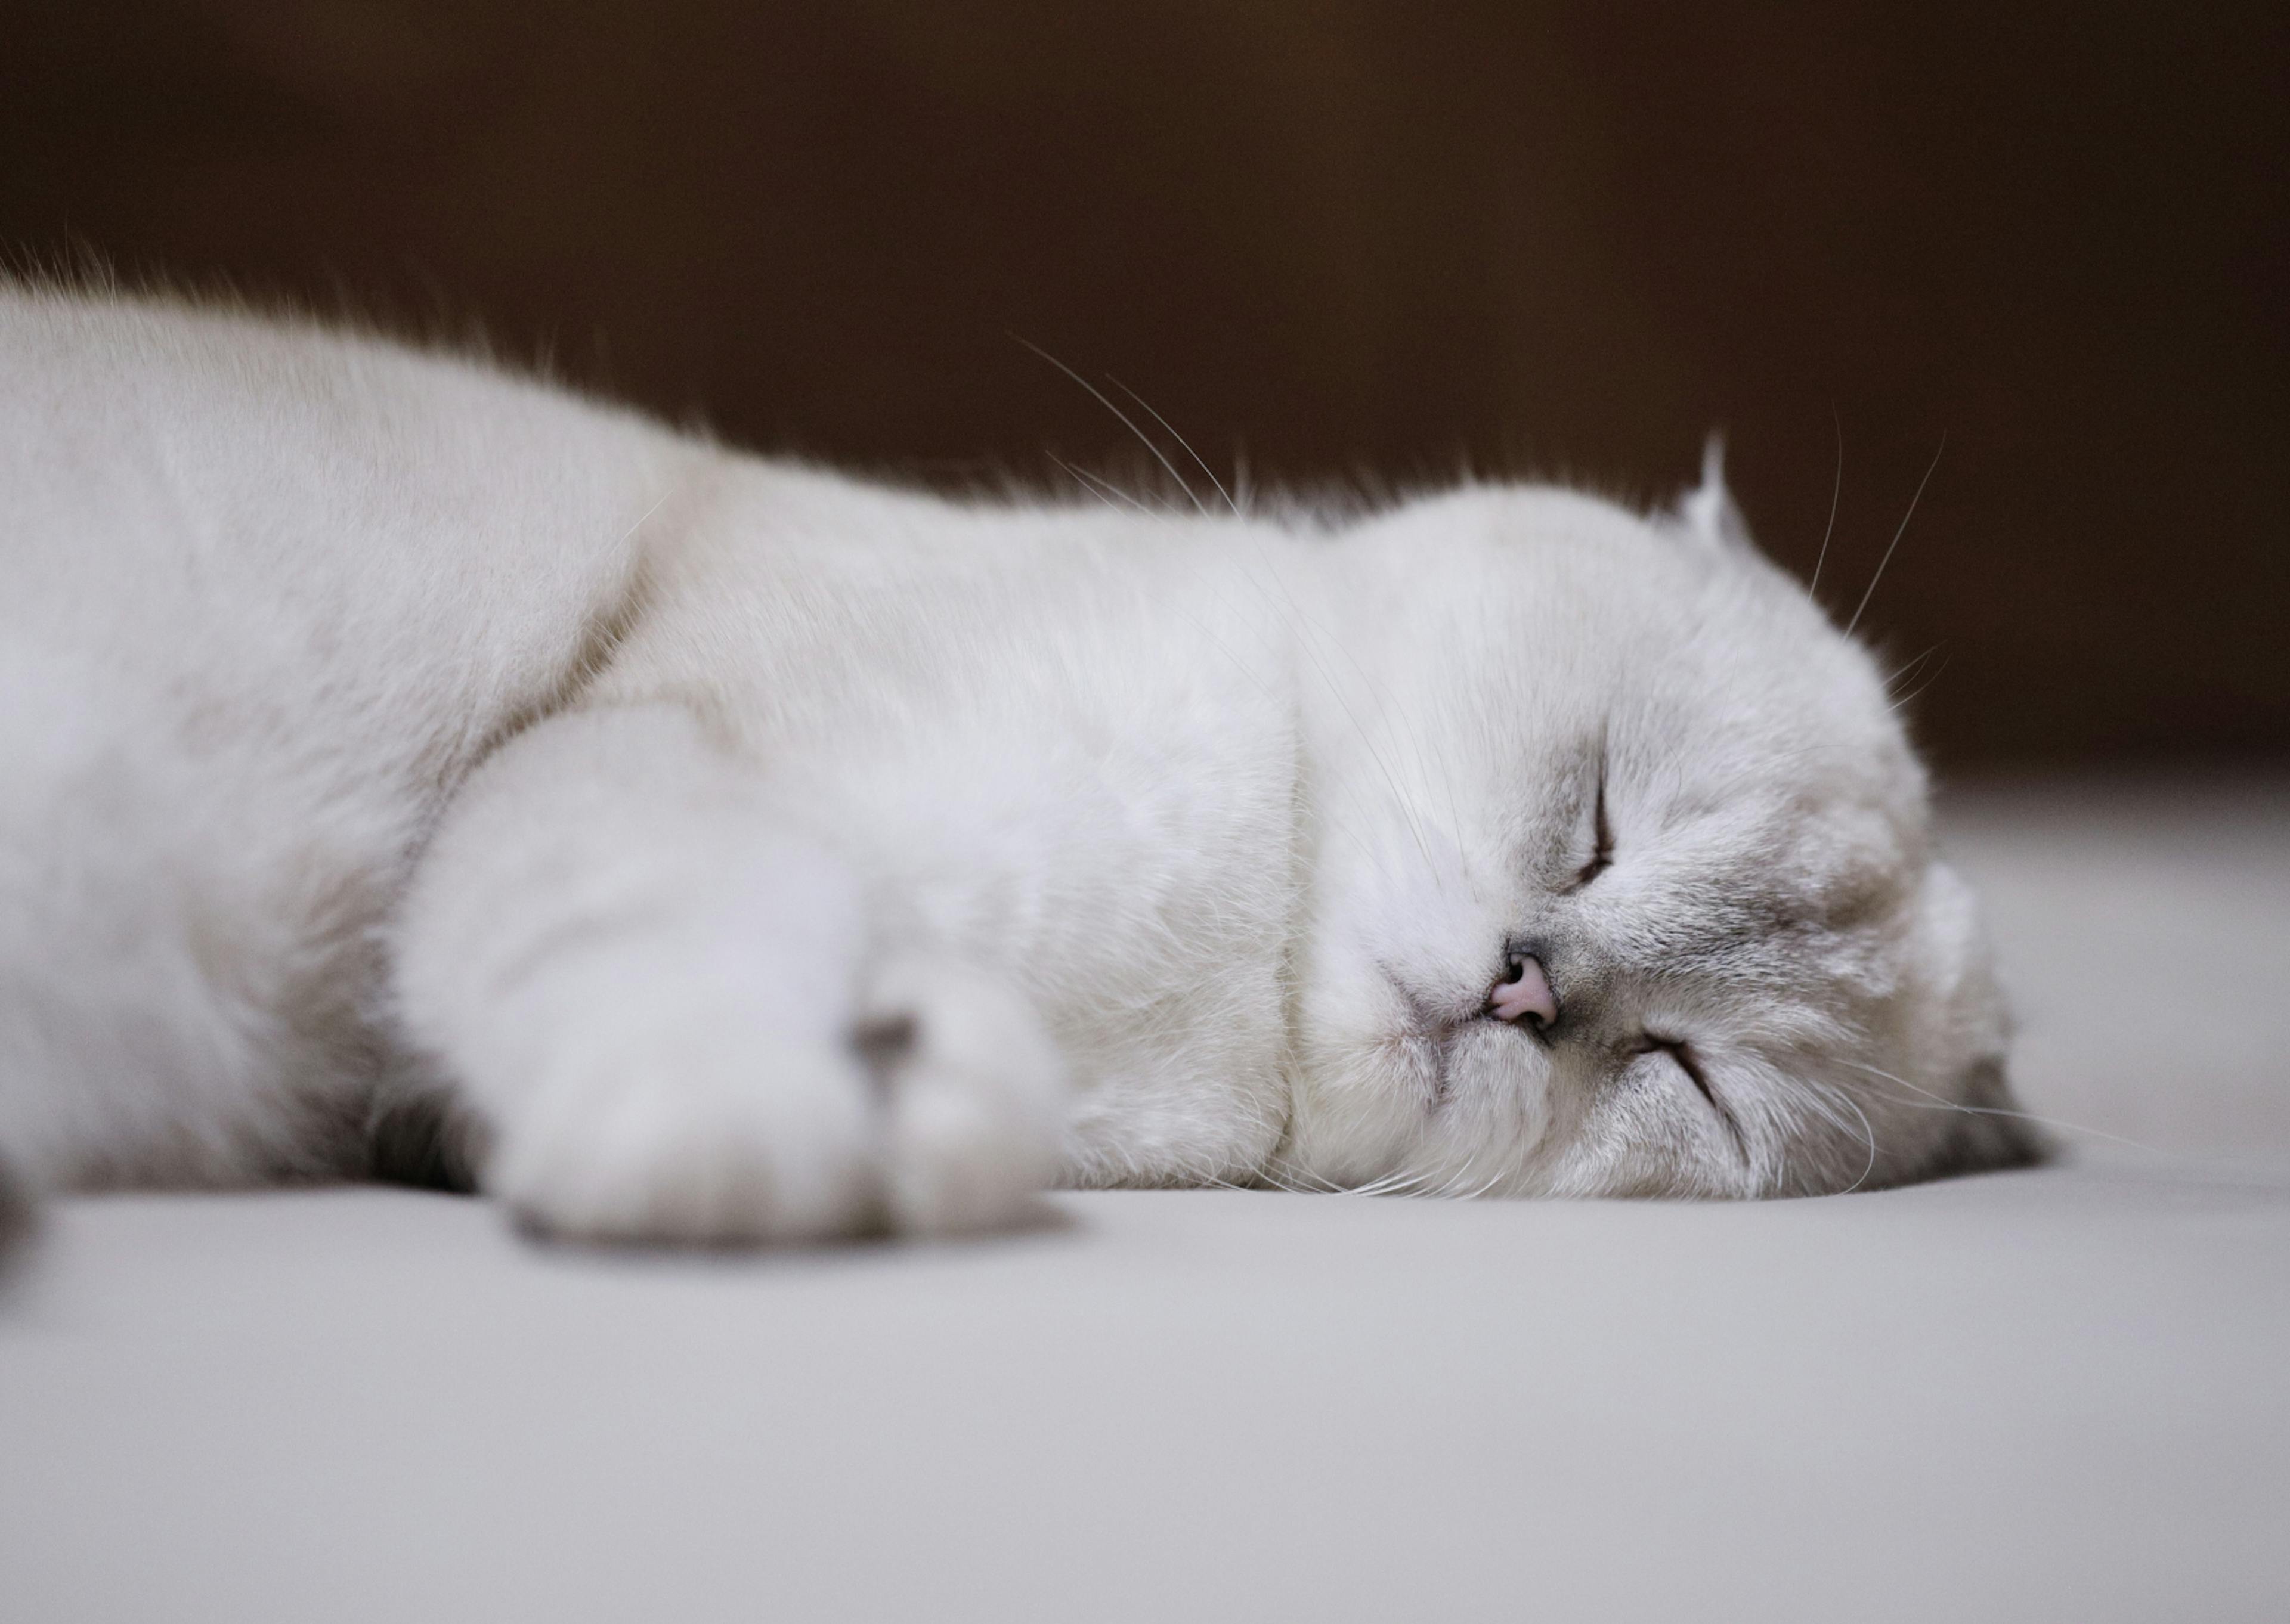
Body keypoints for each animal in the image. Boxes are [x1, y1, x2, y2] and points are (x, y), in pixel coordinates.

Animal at [0, 285, 2043, 1246]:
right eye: (1606, 817)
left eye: (1688, 1079)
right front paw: (757, 1144)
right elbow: (675, 967)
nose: (1532, 983)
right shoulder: (638, 750)